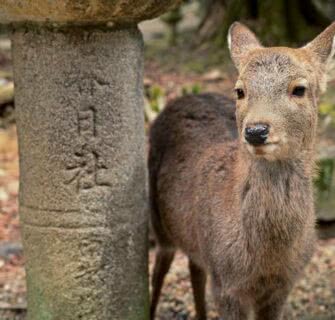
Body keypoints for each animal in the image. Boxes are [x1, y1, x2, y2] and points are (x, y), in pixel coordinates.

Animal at [150, 22, 335, 320]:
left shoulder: (282, 286)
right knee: (159, 271)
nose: (256, 131)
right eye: (240, 90)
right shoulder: (226, 284)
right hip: (157, 220)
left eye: (299, 89)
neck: (267, 258)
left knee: (194, 269)